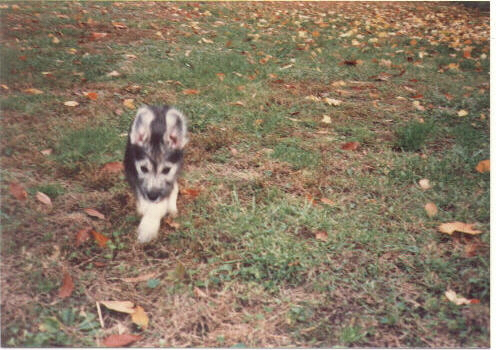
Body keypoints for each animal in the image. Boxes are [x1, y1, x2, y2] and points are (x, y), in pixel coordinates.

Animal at [124, 104, 188, 243]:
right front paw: (145, 210)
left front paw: (148, 228)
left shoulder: (169, 179)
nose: (152, 196)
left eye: (166, 170)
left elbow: (160, 204)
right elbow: (141, 196)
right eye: (143, 168)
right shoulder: (132, 173)